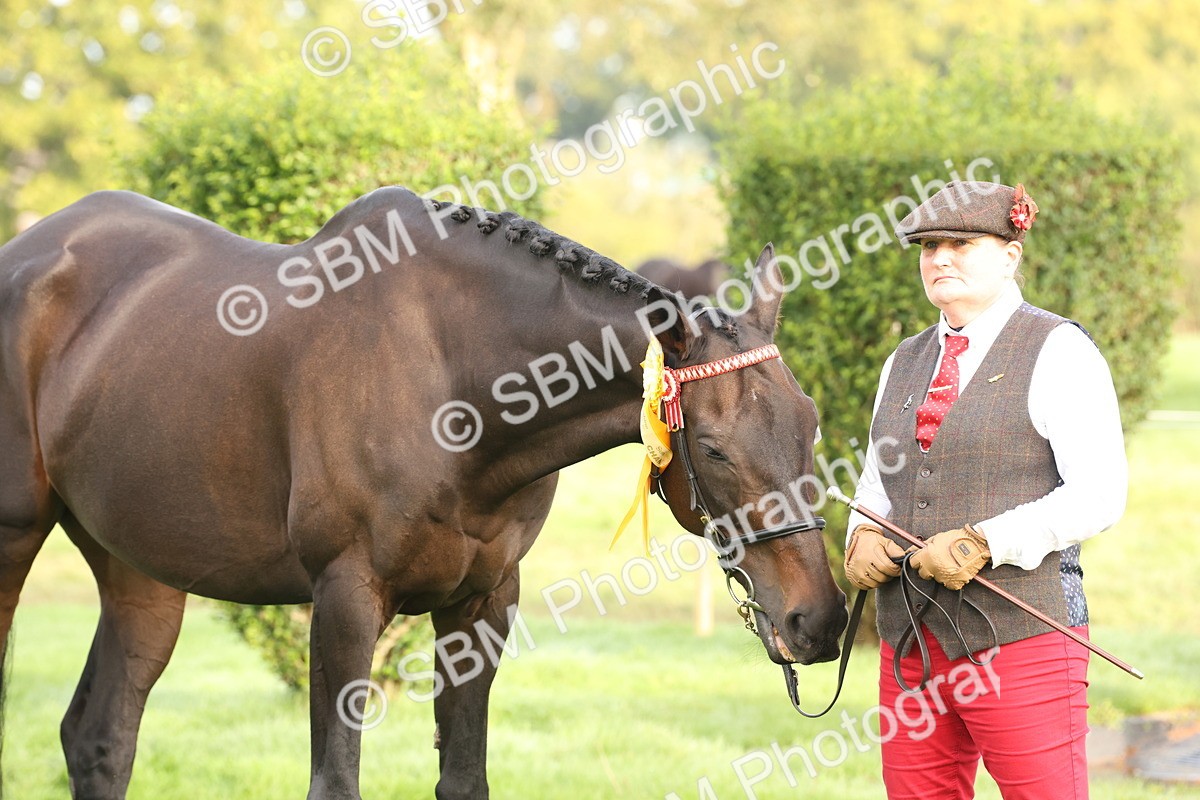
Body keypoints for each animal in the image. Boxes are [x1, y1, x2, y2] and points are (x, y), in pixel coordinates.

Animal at [0, 186, 848, 799]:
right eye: (715, 449)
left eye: (810, 425)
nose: (819, 621)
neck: (452, 381)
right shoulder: (345, 599)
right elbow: (335, 782)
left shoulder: (483, 603)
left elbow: (463, 779)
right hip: (16, 539)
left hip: (140, 569)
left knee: (100, 738)